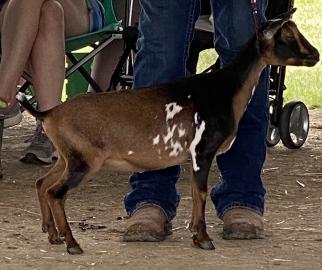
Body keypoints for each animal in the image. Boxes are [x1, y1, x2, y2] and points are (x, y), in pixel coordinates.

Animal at [17, 7, 320, 253]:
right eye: (287, 37)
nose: (315, 55)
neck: (224, 89)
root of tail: (48, 113)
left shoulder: (196, 158)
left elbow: (195, 194)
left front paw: (196, 234)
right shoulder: (202, 152)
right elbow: (201, 193)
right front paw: (203, 239)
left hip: (68, 157)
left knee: (42, 183)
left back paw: (53, 235)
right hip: (83, 161)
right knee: (56, 193)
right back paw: (72, 243)